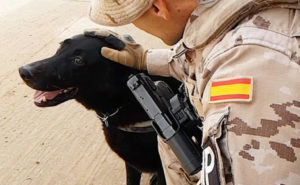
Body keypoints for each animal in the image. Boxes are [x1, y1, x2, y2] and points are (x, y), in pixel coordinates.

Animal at [19, 33, 182, 185]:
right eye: (60, 47)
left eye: (78, 60)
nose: (23, 71)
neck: (124, 100)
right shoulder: (132, 164)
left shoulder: (162, 169)